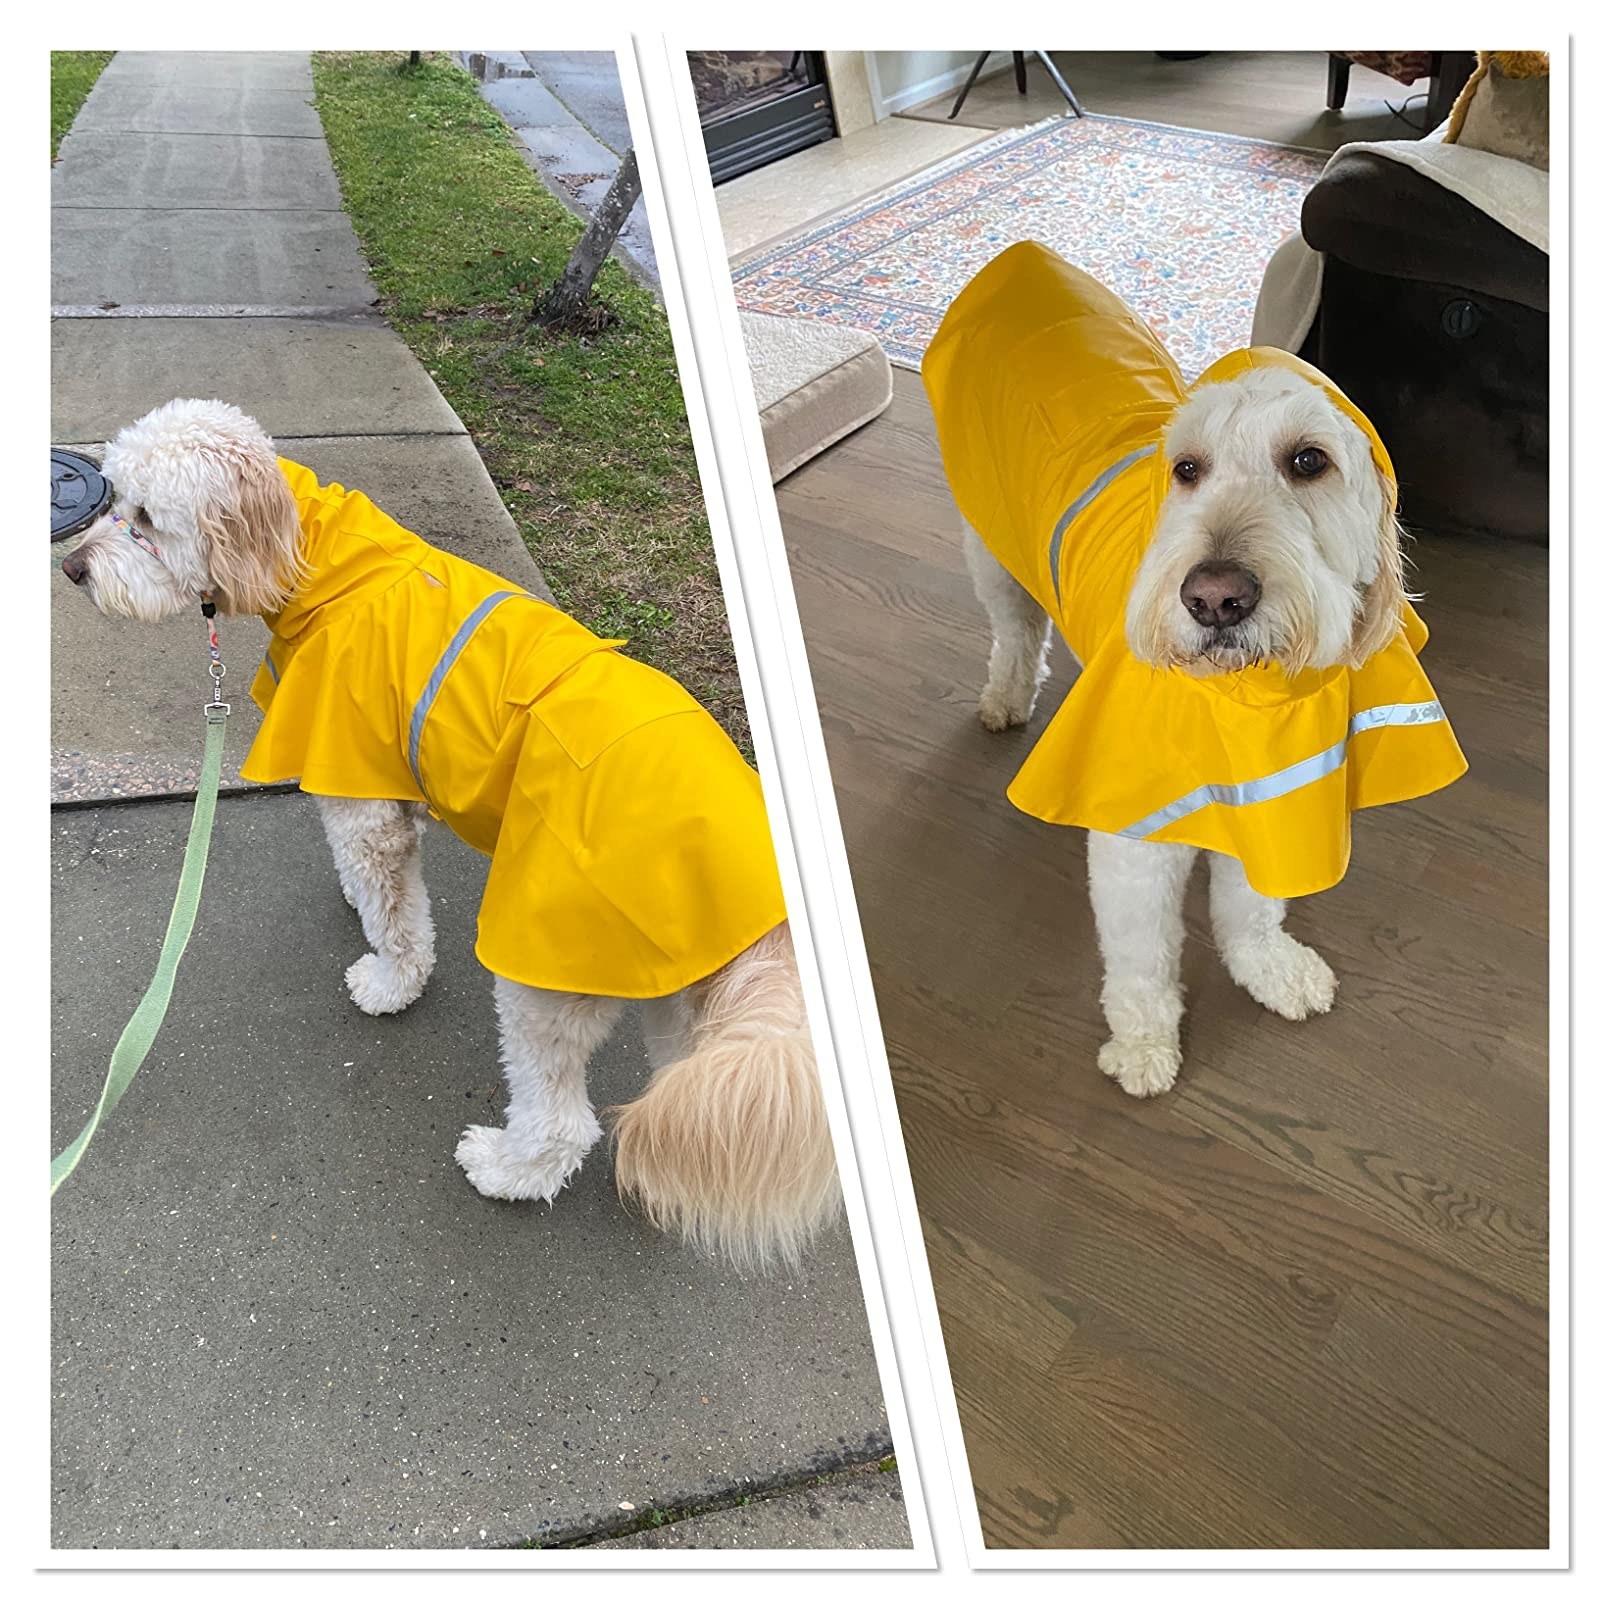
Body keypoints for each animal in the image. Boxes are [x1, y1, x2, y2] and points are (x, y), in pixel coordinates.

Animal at [58, 396, 844, 1260]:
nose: (73, 570)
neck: (315, 559)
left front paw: (390, 981)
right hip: (679, 979)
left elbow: (395, 912)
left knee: (563, 1120)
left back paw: (507, 1170)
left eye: (146, 519)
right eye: (114, 499)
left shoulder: (365, 800)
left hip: (546, 972)